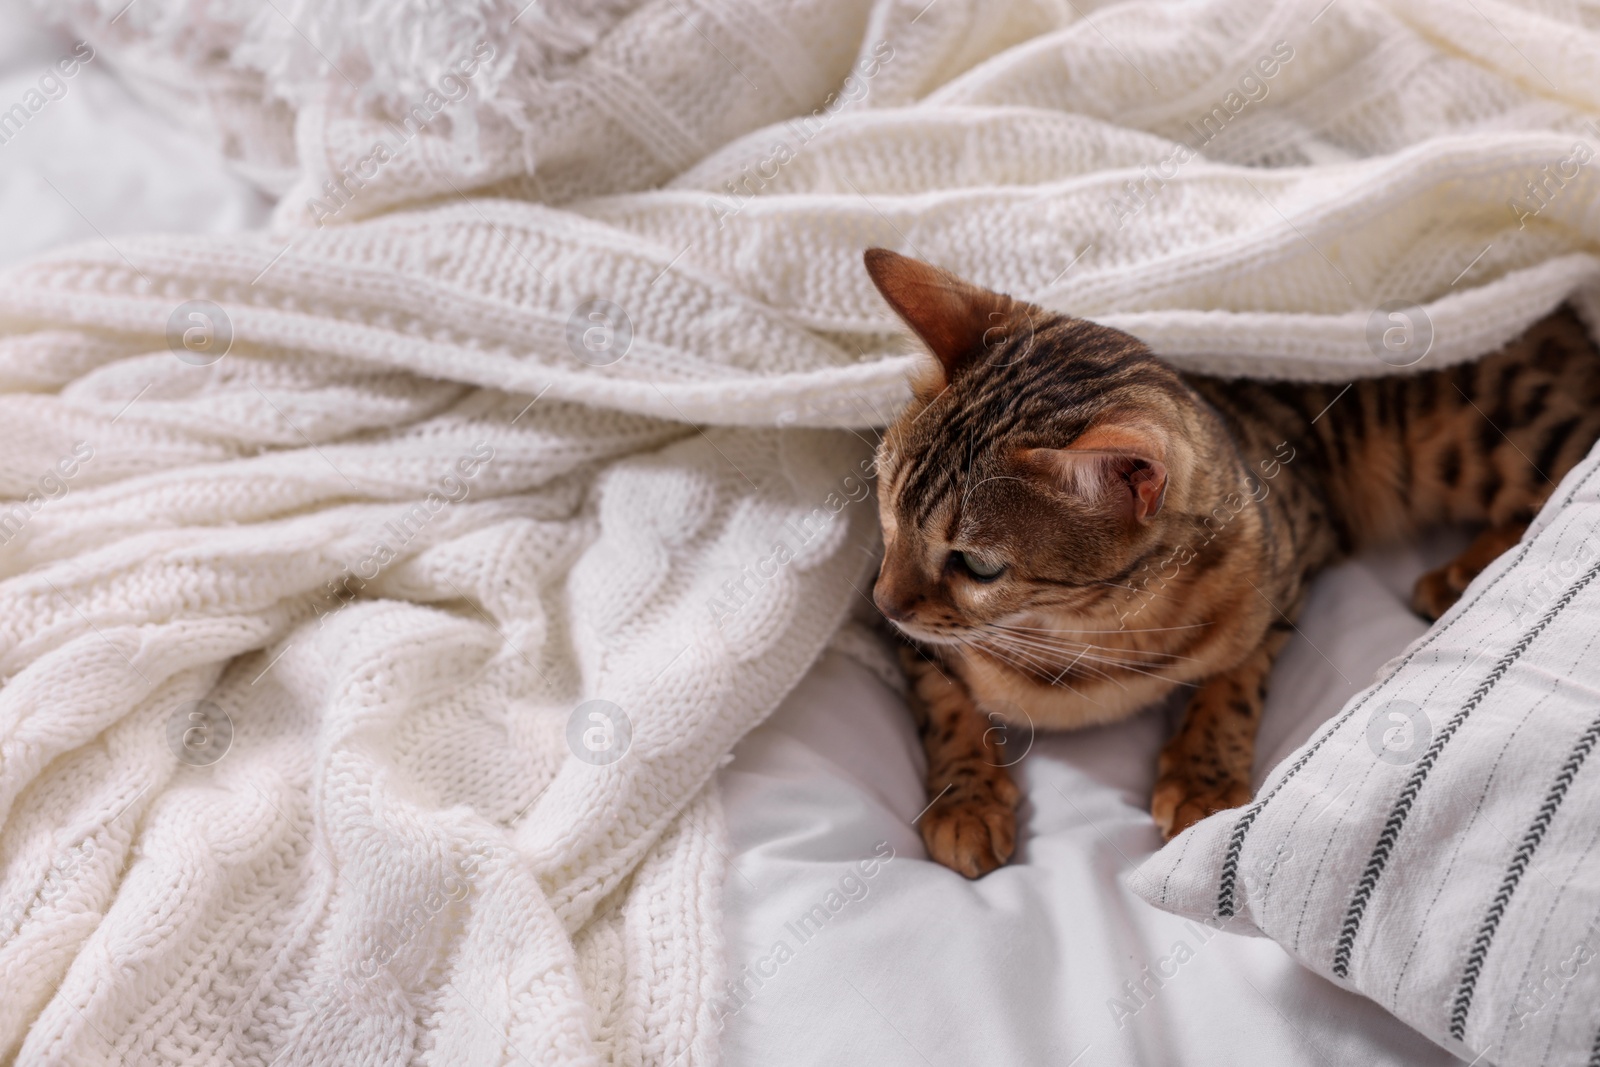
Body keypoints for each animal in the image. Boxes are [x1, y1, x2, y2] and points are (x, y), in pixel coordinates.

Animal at [870, 247, 1600, 876]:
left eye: (977, 566)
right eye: (887, 508)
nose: (882, 601)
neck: (1080, 637)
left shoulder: (1288, 570)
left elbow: (1235, 678)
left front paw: (1201, 775)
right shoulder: (908, 640)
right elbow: (945, 703)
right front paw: (966, 800)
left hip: (1487, 439)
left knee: (1564, 472)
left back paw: (1458, 573)